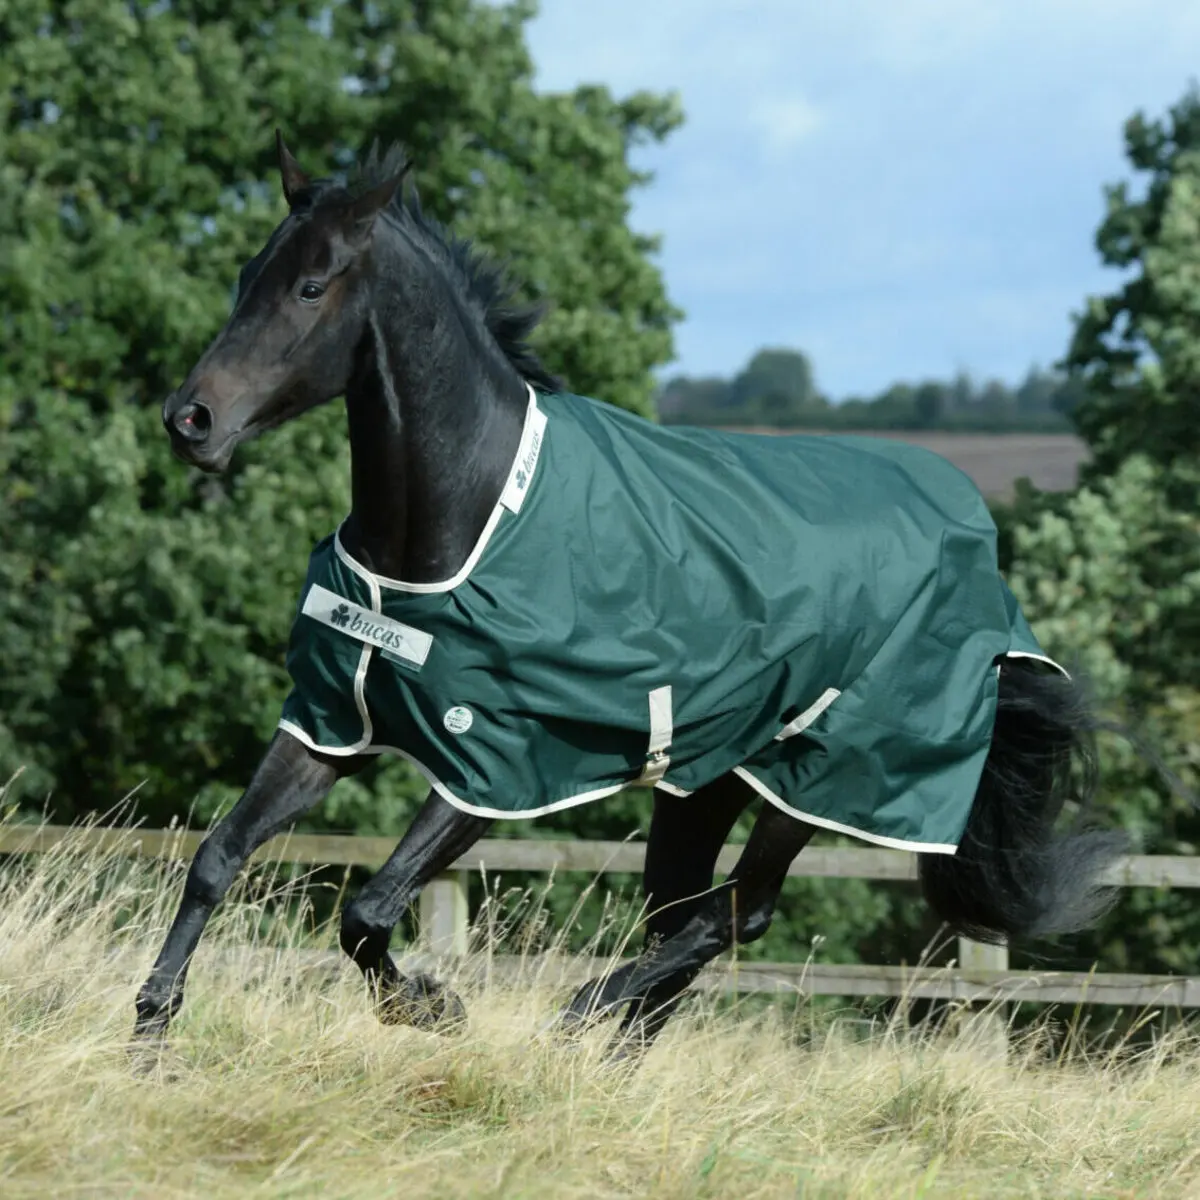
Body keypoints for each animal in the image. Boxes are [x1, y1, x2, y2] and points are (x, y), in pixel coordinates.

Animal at [138, 131, 1129, 1061]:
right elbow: (218, 856)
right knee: (687, 917)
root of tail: (979, 549)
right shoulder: (329, 725)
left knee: (735, 912)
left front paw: (431, 1006)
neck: (456, 527)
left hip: (816, 778)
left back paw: (579, 1017)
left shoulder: (495, 770)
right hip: (704, 782)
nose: (191, 421)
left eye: (312, 287)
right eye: (247, 277)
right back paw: (615, 1049)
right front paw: (152, 1026)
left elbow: (368, 912)